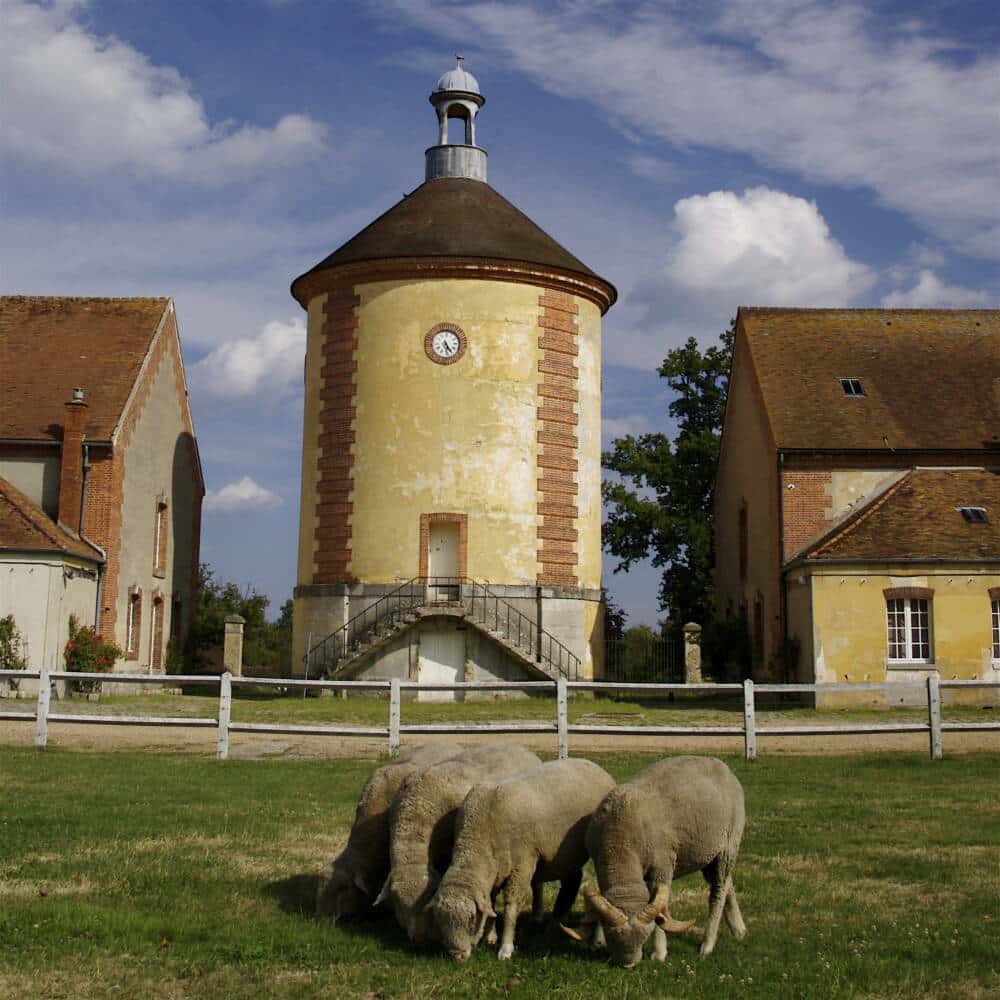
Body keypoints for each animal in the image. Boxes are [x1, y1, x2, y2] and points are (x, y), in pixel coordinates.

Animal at [378, 744, 544, 944]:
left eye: (428, 898)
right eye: (398, 903)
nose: (418, 938)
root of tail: (523, 749)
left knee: (537, 882)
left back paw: (537, 914)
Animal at [432, 756, 612, 960]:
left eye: (471, 919)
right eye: (440, 922)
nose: (458, 956)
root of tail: (592, 764)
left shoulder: (523, 863)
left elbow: (511, 907)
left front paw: (506, 948)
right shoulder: (495, 872)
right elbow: (491, 903)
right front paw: (490, 936)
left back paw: (597, 940)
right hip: (567, 855)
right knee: (572, 881)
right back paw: (555, 924)